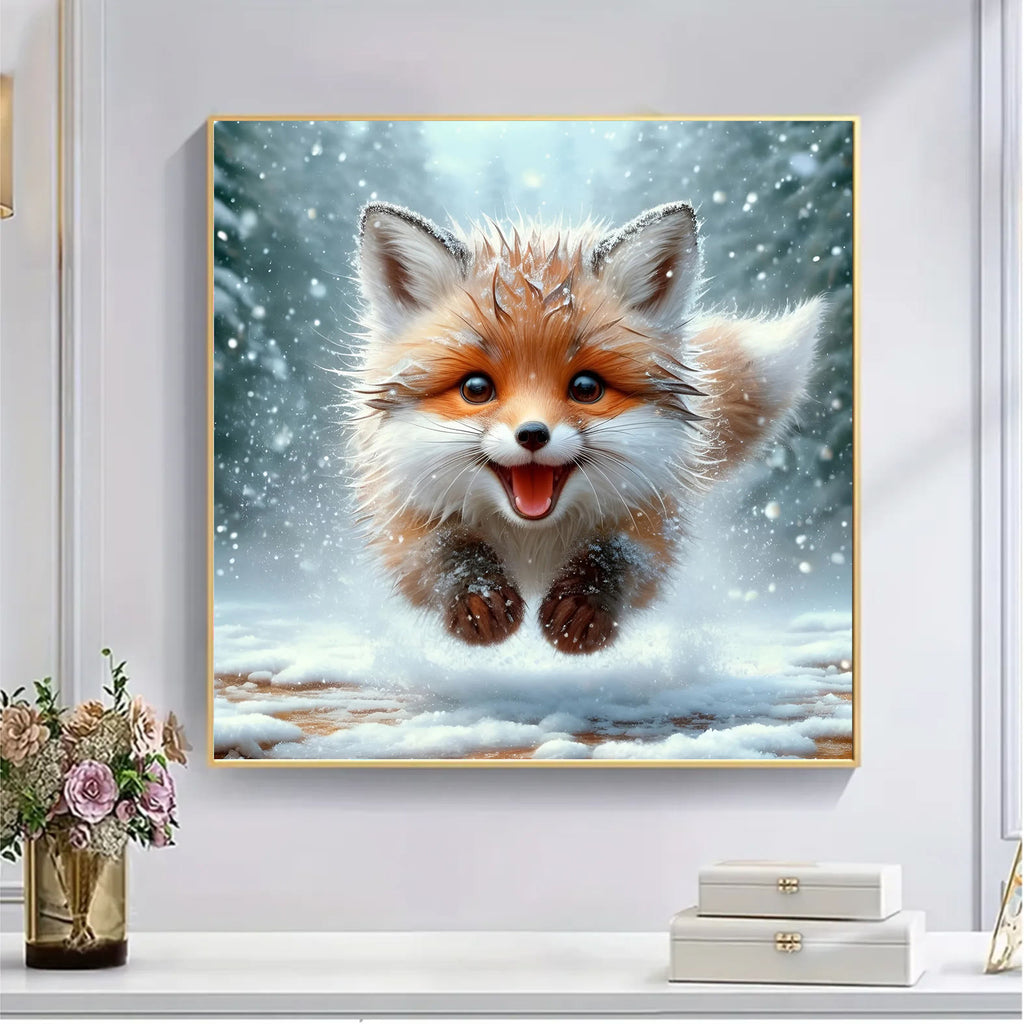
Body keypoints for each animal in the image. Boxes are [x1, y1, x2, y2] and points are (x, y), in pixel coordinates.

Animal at [349, 200, 822, 654]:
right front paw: (479, 598)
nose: (533, 434)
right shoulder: (402, 521)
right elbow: (445, 553)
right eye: (477, 389)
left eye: (585, 388)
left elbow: (616, 557)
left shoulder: (652, 518)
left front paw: (582, 608)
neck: (532, 543)